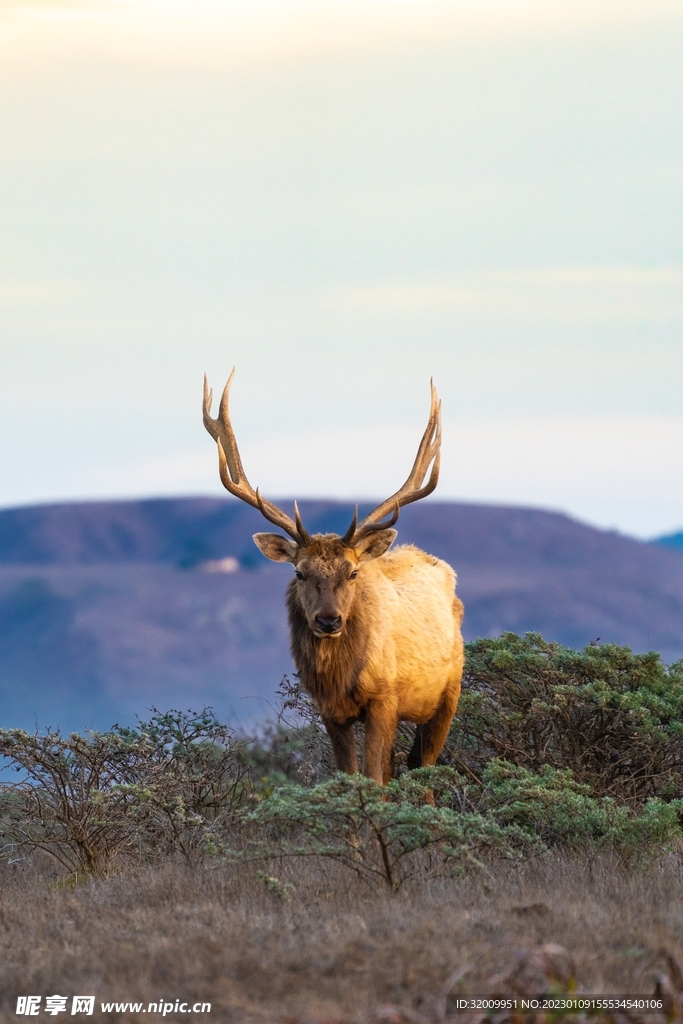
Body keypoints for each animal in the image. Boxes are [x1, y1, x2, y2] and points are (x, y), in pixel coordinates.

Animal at [203, 370, 464, 786]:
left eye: (353, 571)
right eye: (299, 572)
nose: (328, 620)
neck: (343, 678)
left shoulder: (385, 699)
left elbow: (373, 779)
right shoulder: (329, 710)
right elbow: (348, 776)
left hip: (448, 694)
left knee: (422, 767)